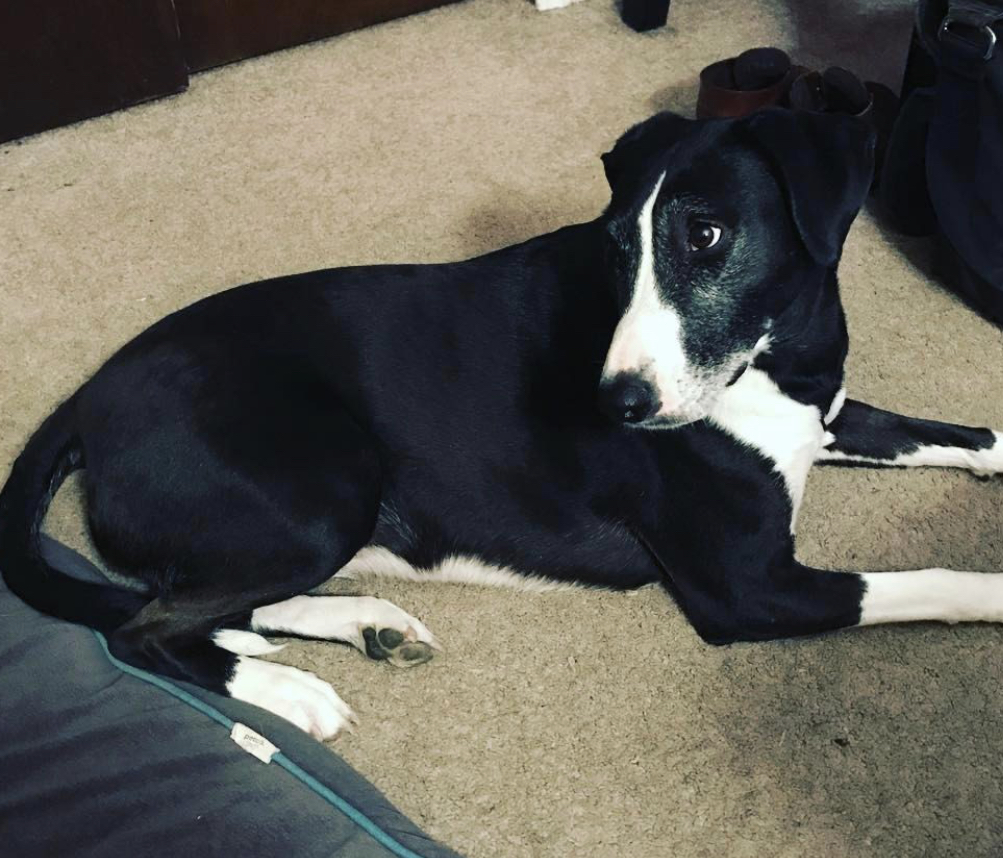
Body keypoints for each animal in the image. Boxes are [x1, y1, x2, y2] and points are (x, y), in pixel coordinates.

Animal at [1, 107, 1003, 738]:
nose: (615, 406)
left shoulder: (824, 414)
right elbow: (927, 580)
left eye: (706, 235)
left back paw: (368, 624)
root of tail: (86, 396)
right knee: (146, 628)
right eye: (614, 247)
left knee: (216, 604)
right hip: (325, 488)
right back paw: (293, 690)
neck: (778, 361)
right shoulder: (747, 587)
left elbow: (950, 434)